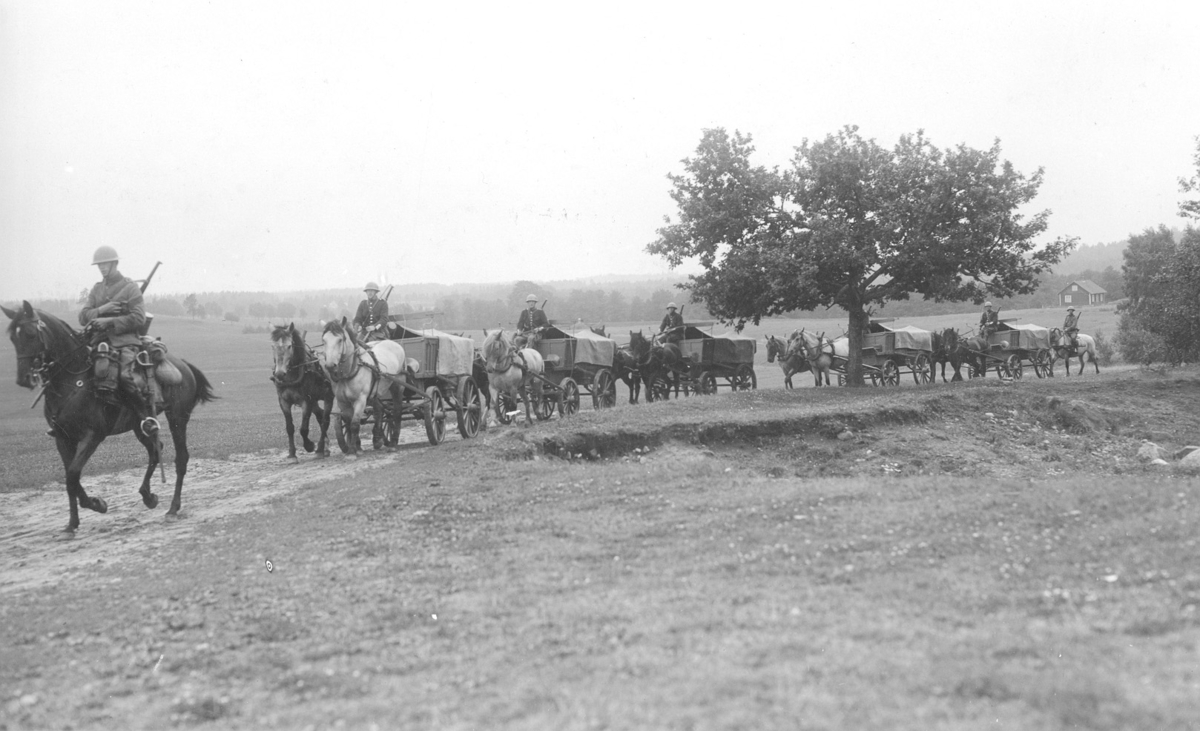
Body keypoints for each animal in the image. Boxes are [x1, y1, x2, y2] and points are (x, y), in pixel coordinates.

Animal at [3, 298, 216, 532]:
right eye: (13, 338)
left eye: (31, 334)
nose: (23, 378)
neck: (72, 381)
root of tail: (183, 365)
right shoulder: (62, 438)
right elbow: (70, 479)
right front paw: (73, 522)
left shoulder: (92, 436)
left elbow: (73, 475)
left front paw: (96, 504)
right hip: (140, 424)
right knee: (155, 449)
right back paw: (148, 496)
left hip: (177, 418)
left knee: (181, 458)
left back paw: (173, 508)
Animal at [319, 316, 412, 456]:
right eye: (324, 340)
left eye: (340, 340)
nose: (330, 366)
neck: (351, 370)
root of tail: (394, 343)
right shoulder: (343, 402)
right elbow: (349, 423)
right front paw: (356, 446)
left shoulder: (360, 400)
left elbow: (354, 424)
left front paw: (353, 451)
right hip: (374, 394)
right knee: (379, 410)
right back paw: (378, 438)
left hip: (397, 387)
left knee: (396, 412)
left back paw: (393, 442)